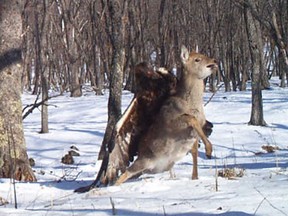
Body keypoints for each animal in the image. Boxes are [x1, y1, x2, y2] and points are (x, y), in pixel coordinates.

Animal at [113, 44, 217, 185]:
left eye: (203, 54)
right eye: (197, 59)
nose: (214, 61)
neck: (192, 104)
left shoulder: (197, 129)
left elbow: (195, 150)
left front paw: (196, 176)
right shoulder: (171, 122)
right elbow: (190, 119)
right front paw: (209, 151)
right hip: (142, 161)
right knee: (124, 174)